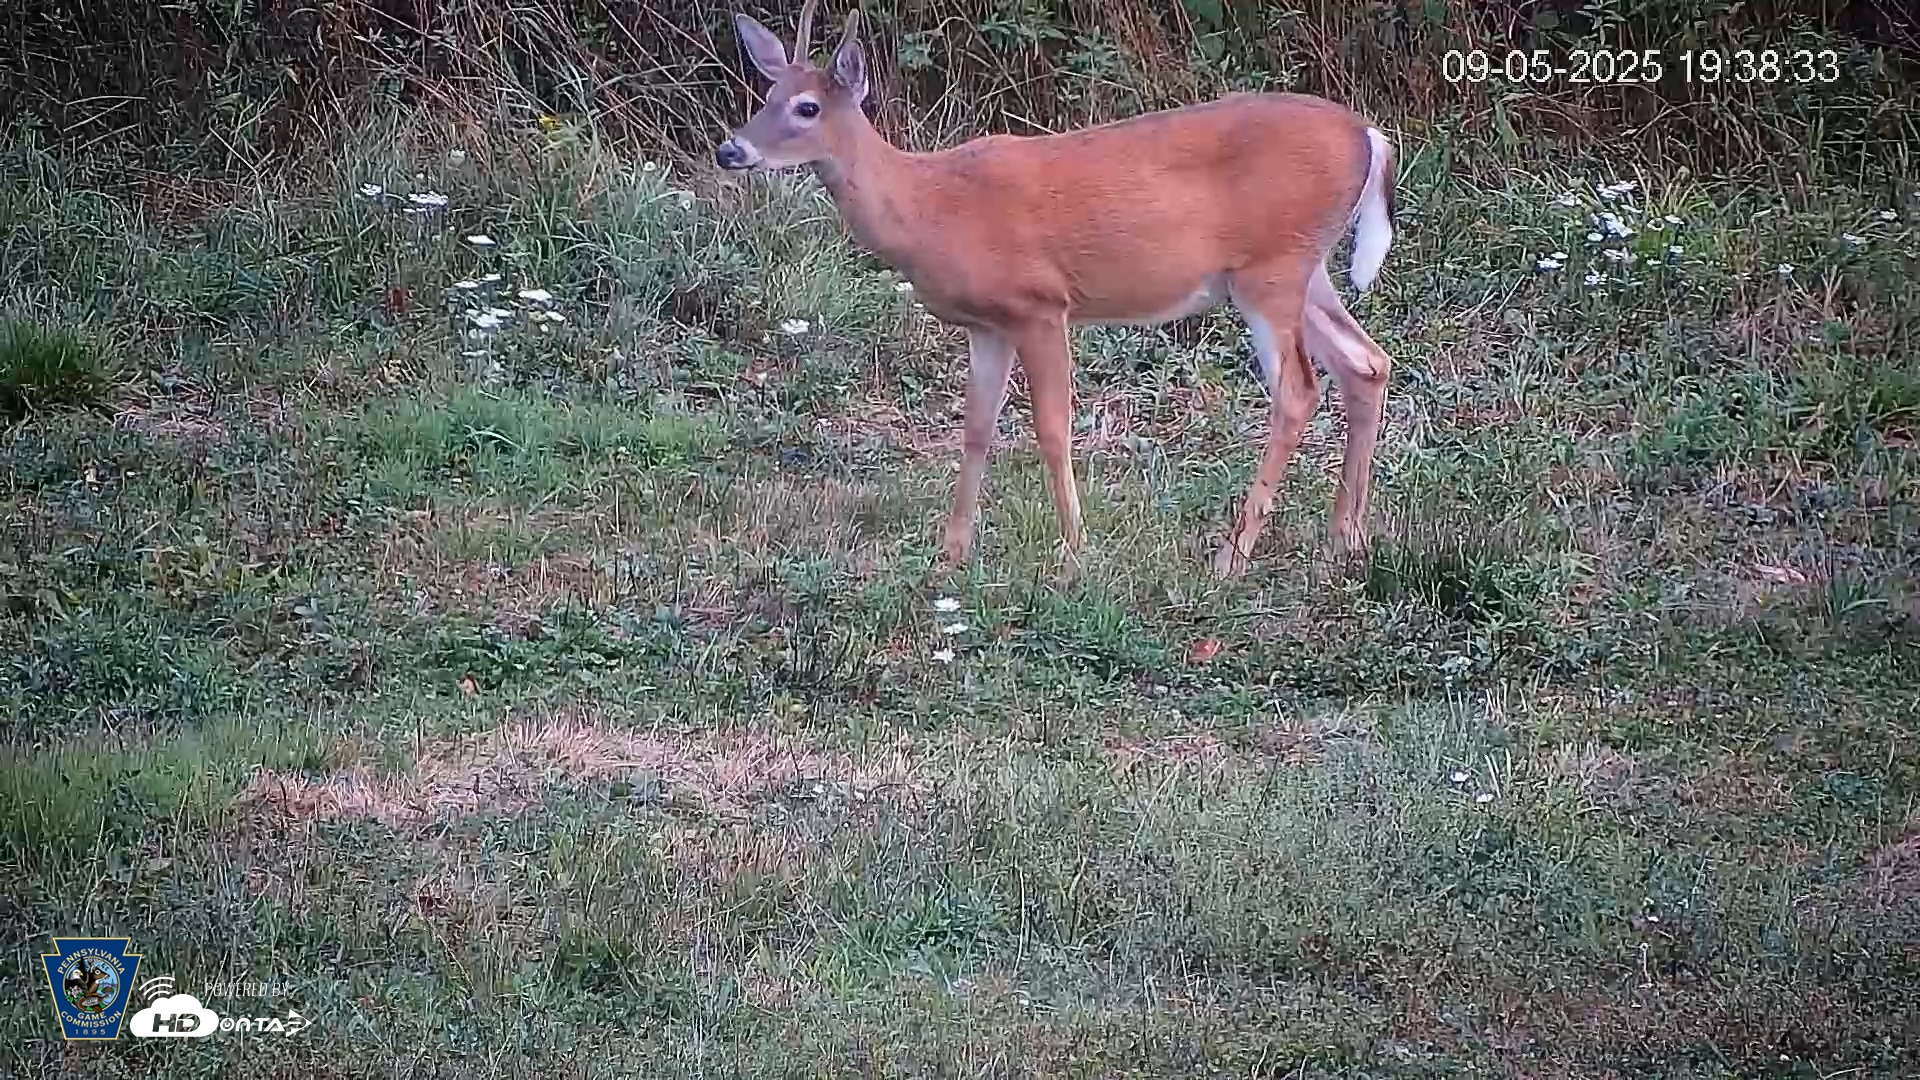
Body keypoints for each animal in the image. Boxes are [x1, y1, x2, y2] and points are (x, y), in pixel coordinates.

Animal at [714, 0, 1398, 579]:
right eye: (766, 94)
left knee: (1299, 390)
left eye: (806, 108)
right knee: (1366, 362)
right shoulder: (986, 325)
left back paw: (1233, 557)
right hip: (1303, 270)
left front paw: (1076, 554)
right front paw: (952, 554)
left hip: (1271, 269)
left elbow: (1051, 426)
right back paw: (1346, 540)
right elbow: (977, 428)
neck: (932, 207)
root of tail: (1371, 135)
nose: (730, 150)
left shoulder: (1040, 304)